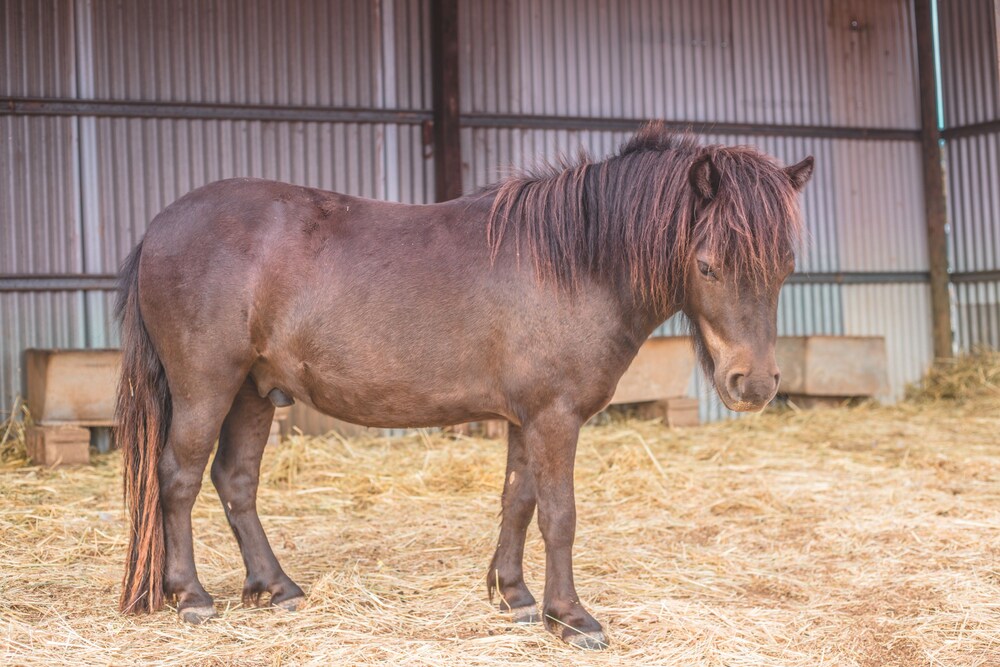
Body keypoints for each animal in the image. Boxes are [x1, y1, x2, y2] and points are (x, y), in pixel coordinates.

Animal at [115, 122, 812, 648]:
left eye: (784, 266)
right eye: (708, 266)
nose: (754, 383)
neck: (572, 262)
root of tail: (160, 227)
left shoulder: (526, 418)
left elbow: (517, 501)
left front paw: (515, 596)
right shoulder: (554, 417)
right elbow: (559, 515)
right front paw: (571, 618)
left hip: (254, 393)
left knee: (235, 482)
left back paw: (276, 588)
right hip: (207, 388)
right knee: (178, 478)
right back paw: (191, 596)